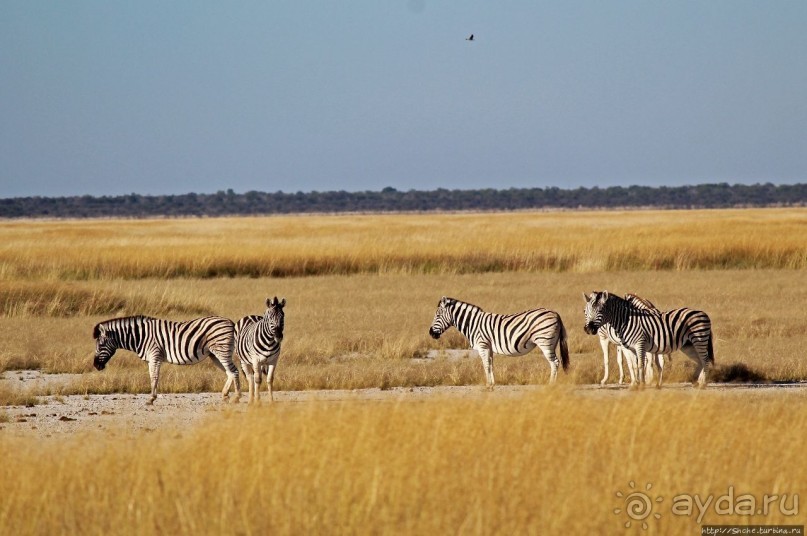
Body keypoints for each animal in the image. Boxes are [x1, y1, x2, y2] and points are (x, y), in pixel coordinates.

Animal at [92, 314, 240, 402]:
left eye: (100, 345)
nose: (95, 365)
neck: (140, 336)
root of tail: (230, 322)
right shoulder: (151, 359)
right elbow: (152, 376)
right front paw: (152, 396)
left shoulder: (155, 355)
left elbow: (154, 377)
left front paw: (151, 398)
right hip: (214, 354)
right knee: (229, 372)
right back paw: (225, 394)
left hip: (221, 350)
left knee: (234, 371)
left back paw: (237, 397)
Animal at [430, 298, 568, 390]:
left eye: (437, 315)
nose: (431, 333)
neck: (473, 323)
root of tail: (555, 313)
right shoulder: (489, 347)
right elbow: (491, 365)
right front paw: (492, 384)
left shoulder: (482, 345)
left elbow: (485, 365)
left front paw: (487, 385)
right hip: (551, 342)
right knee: (555, 362)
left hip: (545, 342)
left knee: (555, 362)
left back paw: (551, 384)